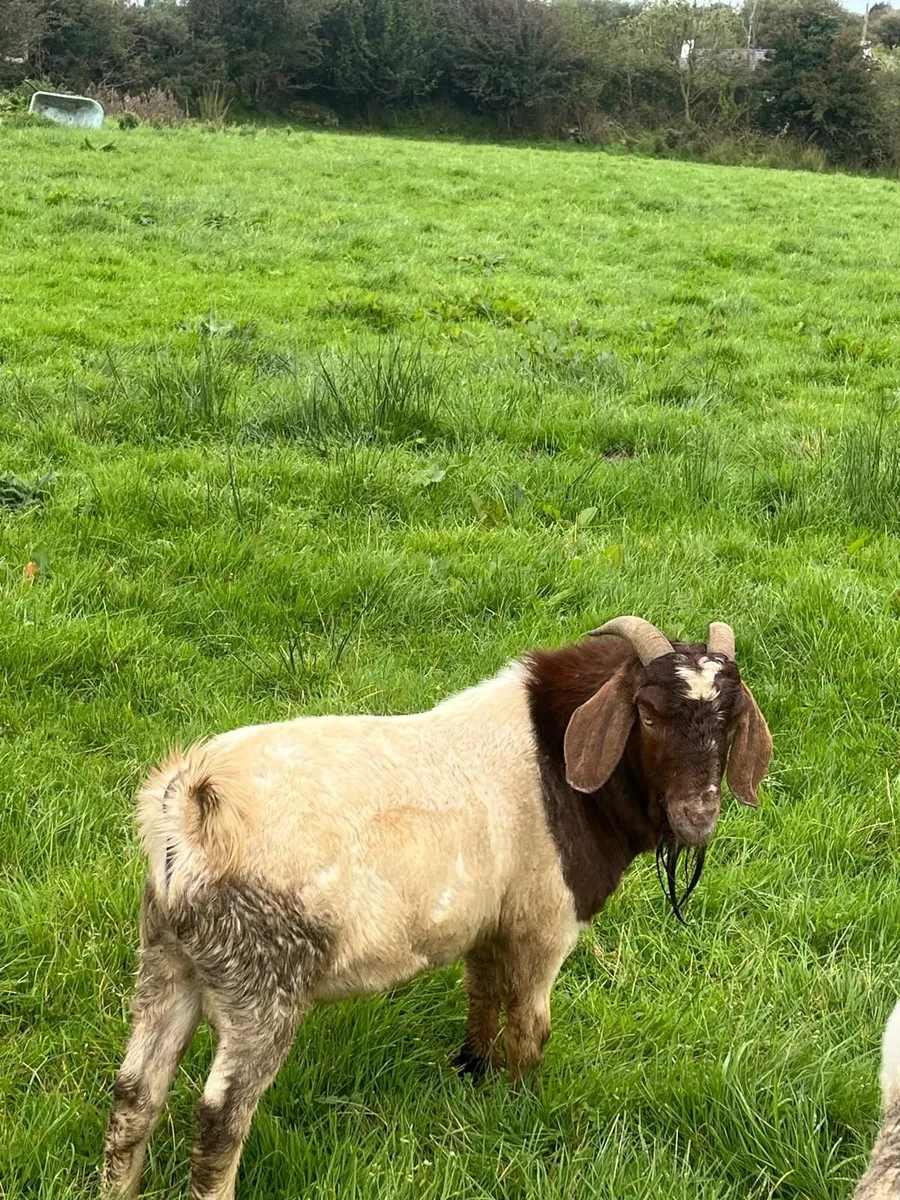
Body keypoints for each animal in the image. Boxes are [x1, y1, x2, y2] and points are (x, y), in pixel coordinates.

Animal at [101, 615, 772, 1200]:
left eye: (731, 718)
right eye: (649, 714)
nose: (698, 817)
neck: (554, 761)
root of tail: (188, 809)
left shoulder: (485, 925)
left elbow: (482, 993)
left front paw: (473, 1071)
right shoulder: (542, 924)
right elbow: (530, 1025)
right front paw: (520, 1104)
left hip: (167, 958)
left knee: (135, 1092)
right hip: (263, 986)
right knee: (220, 1117)